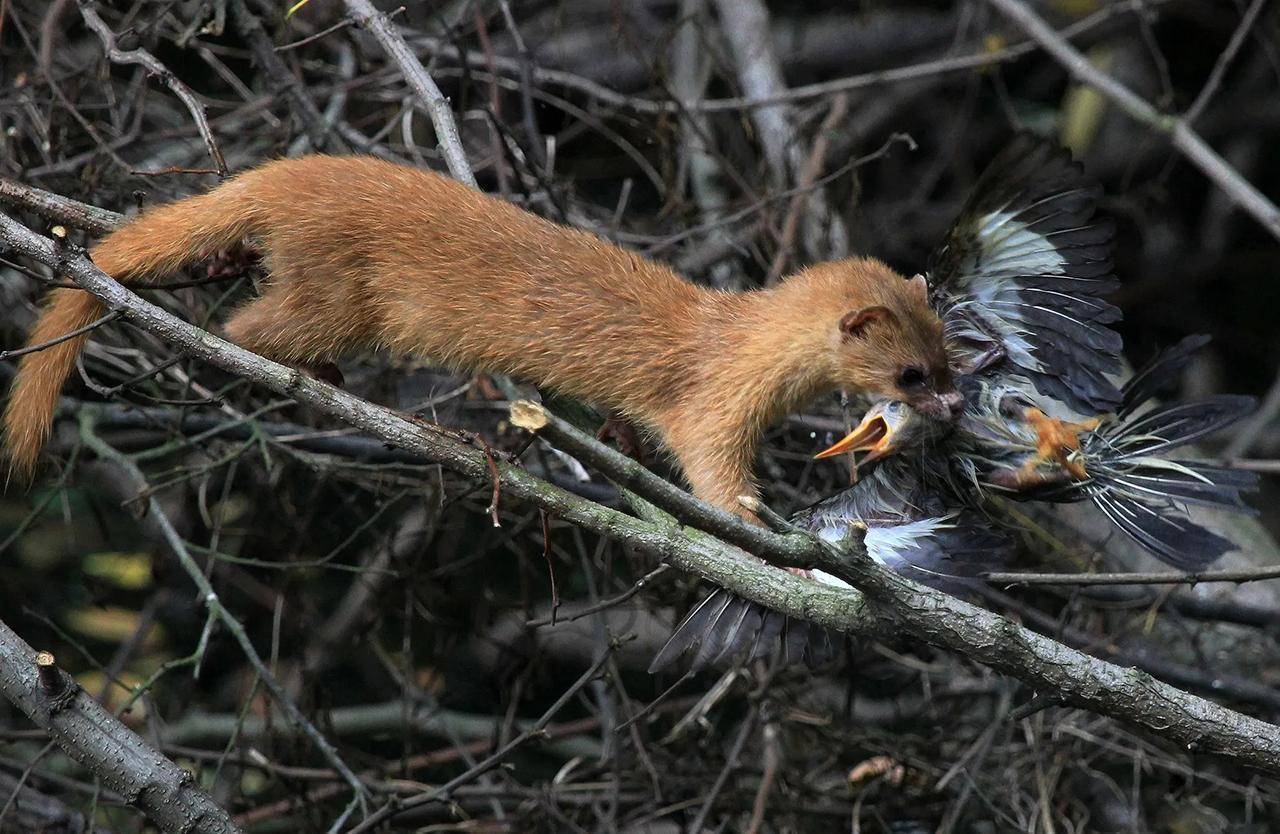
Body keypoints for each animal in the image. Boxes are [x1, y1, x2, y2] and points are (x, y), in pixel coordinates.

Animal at [0, 152, 962, 511]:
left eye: (948, 354)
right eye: (911, 374)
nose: (956, 404)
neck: (737, 333)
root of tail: (281, 175)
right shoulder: (712, 403)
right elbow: (710, 464)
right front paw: (763, 523)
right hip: (339, 291)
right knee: (253, 322)